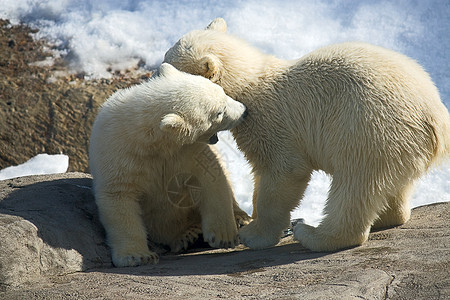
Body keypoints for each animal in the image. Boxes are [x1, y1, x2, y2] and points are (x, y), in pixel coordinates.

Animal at [88, 63, 250, 268]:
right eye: (219, 112)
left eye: (222, 92)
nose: (244, 110)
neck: (151, 144)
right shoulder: (117, 154)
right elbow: (118, 197)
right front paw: (137, 256)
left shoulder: (187, 151)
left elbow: (210, 178)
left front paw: (224, 235)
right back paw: (187, 235)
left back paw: (238, 219)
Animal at [163, 18, 450, 252]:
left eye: (167, 64)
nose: (156, 74)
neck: (251, 84)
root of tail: (436, 117)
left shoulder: (272, 123)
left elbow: (284, 172)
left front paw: (253, 235)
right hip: (400, 142)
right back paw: (387, 216)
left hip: (369, 128)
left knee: (355, 183)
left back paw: (313, 233)